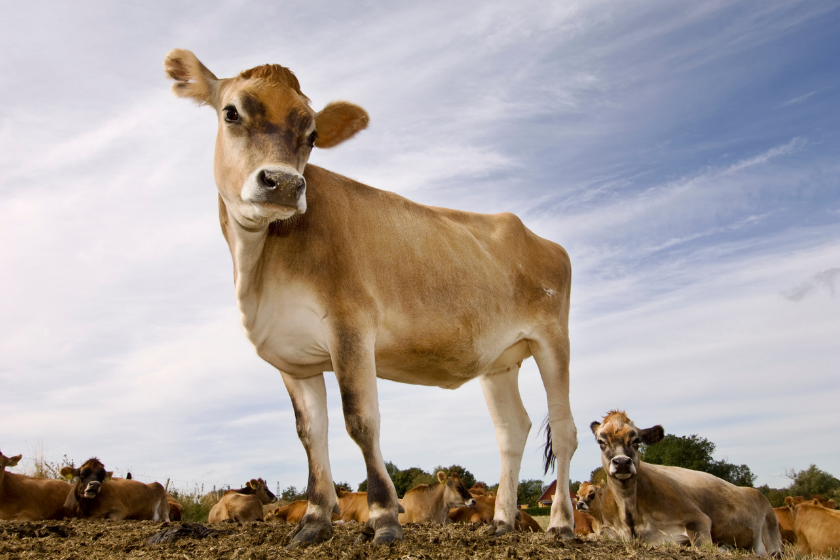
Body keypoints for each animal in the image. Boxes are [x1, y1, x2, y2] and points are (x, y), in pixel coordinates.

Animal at [167, 48, 580, 548]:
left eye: (312, 134)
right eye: (231, 113)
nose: (283, 183)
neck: (260, 264)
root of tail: (541, 238)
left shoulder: (351, 328)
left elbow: (361, 420)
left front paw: (384, 518)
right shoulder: (292, 356)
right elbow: (312, 434)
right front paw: (314, 520)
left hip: (553, 341)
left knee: (564, 430)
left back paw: (561, 524)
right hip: (501, 359)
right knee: (511, 429)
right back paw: (501, 522)